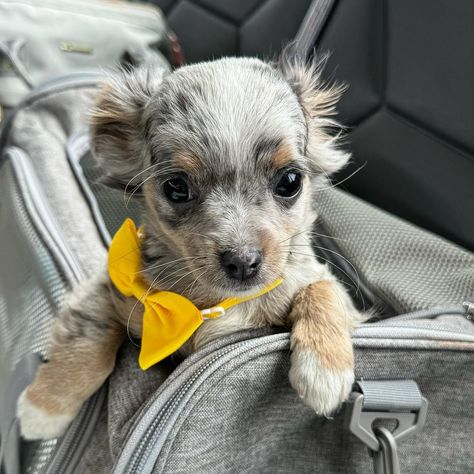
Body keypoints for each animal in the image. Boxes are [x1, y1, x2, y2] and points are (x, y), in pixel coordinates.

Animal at [17, 57, 360, 438]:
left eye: (290, 181)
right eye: (176, 187)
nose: (242, 261)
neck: (214, 302)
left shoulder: (319, 281)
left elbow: (323, 290)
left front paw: (324, 371)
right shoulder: (108, 288)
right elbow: (87, 337)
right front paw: (44, 408)